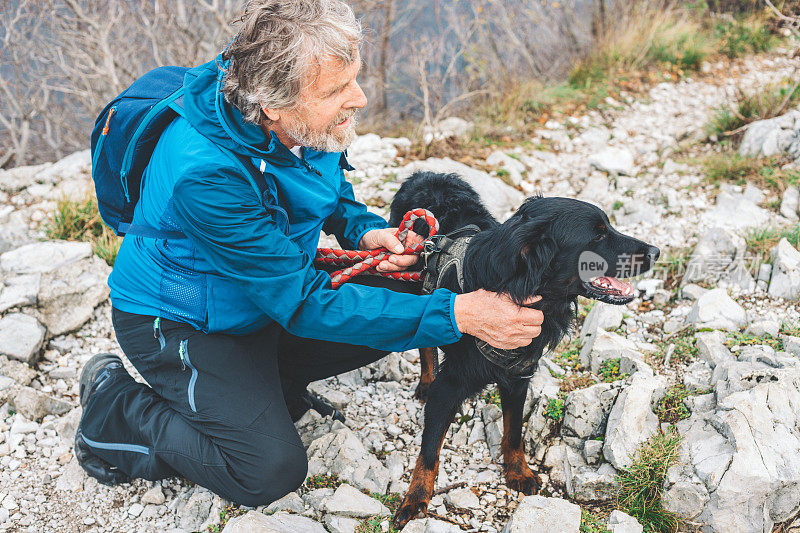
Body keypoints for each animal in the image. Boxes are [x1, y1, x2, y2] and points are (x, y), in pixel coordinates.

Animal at [386, 171, 656, 528]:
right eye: (597, 235)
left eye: (608, 227)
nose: (655, 251)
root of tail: (425, 174)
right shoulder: (450, 385)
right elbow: (429, 450)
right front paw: (416, 498)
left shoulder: (517, 374)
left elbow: (514, 430)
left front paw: (518, 471)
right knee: (424, 341)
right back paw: (425, 381)